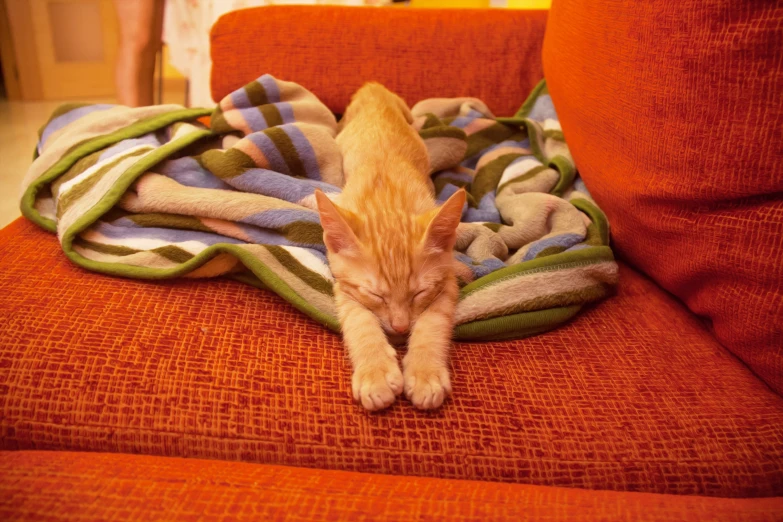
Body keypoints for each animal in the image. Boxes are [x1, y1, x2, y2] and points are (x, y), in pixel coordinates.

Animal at [316, 83, 466, 410]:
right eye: (376, 295)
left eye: (419, 293)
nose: (400, 328)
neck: (386, 196)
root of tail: (371, 86)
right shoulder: (343, 286)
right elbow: (358, 320)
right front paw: (375, 372)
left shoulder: (447, 279)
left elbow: (433, 322)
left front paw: (425, 373)